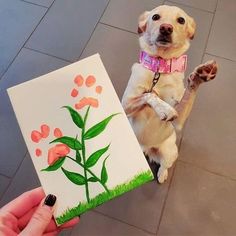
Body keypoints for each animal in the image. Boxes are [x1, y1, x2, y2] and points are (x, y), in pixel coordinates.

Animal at [121, 5, 218, 183]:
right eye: (155, 17)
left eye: (181, 20)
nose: (166, 28)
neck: (160, 67)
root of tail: (145, 149)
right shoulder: (125, 104)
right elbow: (150, 94)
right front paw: (164, 109)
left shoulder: (178, 121)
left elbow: (188, 93)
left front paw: (200, 76)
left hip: (169, 151)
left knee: (164, 165)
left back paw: (162, 175)